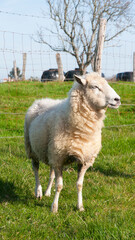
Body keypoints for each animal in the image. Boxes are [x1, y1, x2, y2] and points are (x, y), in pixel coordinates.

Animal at [24, 72, 121, 213]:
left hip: (51, 151)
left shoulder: (84, 160)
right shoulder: (59, 158)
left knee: (51, 172)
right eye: (95, 86)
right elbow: (59, 185)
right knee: (35, 169)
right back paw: (39, 192)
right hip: (32, 149)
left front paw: (80, 206)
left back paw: (47, 192)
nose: (117, 99)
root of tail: (41, 100)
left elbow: (79, 184)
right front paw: (54, 208)